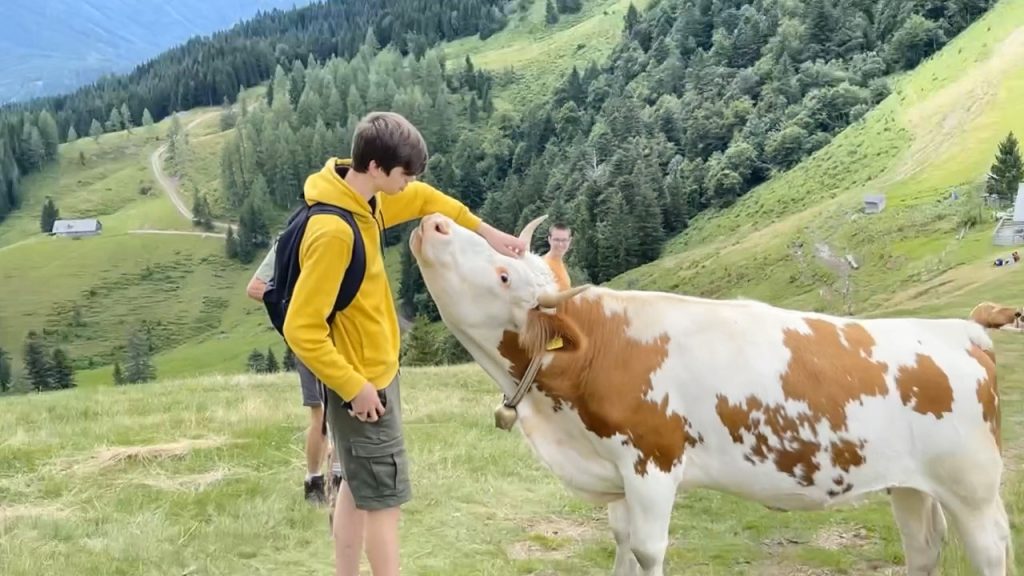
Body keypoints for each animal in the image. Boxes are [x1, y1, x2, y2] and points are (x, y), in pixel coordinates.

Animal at [405, 212, 1007, 573]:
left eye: (504, 276)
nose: (434, 221)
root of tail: (966, 330)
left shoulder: (653, 463)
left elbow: (647, 550)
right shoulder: (615, 471)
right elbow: (620, 539)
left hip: (973, 489)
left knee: (990, 548)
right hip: (909, 485)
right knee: (923, 547)